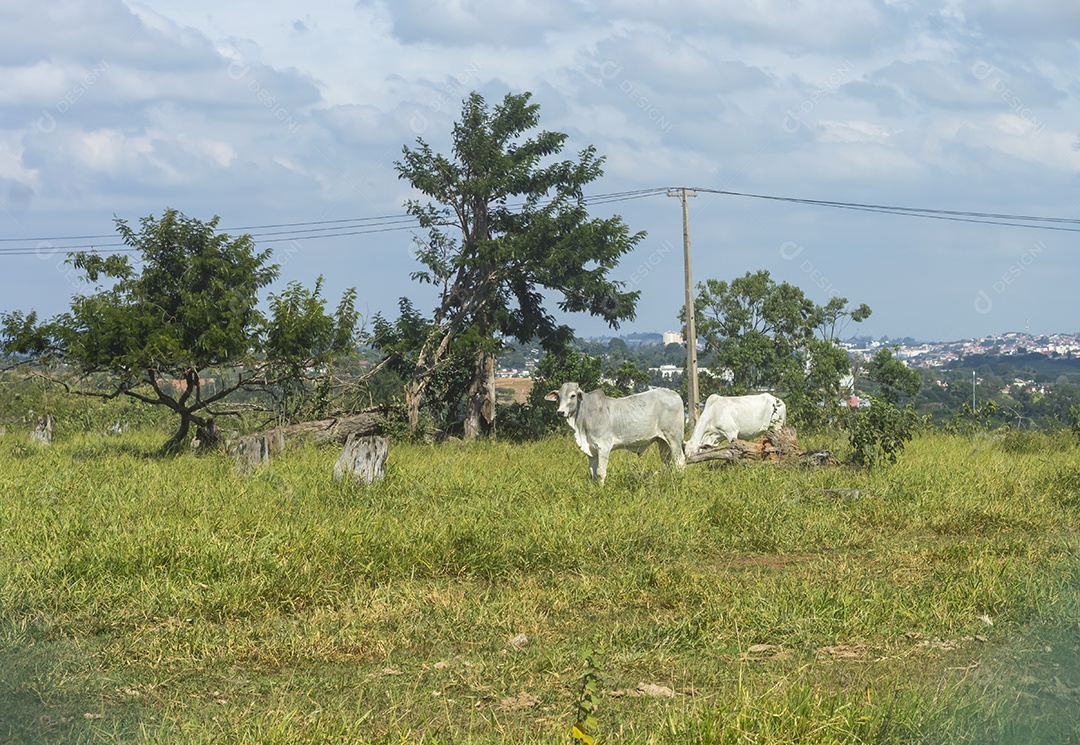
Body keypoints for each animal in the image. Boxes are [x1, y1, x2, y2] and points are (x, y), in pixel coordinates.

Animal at [544, 382, 686, 481]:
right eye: (559, 397)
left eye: (572, 395)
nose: (560, 412)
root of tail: (674, 394)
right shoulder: (591, 451)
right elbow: (593, 474)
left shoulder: (603, 447)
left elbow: (600, 473)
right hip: (662, 442)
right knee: (666, 463)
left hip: (674, 438)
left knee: (680, 462)